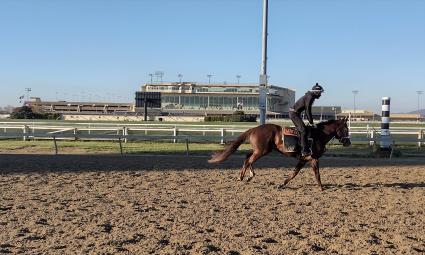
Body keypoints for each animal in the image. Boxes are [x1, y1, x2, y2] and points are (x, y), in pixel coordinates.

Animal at [209, 117, 352, 189]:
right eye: (345, 128)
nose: (348, 142)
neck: (318, 135)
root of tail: (255, 128)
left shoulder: (303, 159)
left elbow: (294, 173)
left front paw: (282, 184)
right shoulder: (314, 159)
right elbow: (317, 174)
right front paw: (321, 188)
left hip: (259, 150)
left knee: (247, 157)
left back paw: (246, 175)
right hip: (262, 151)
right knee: (249, 160)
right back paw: (245, 176)